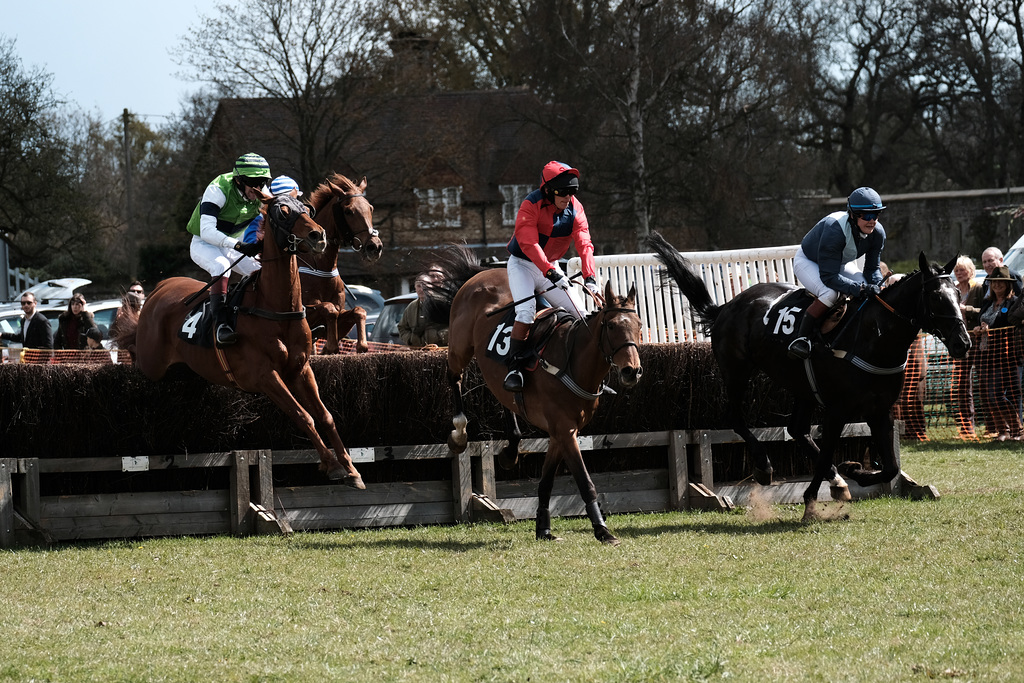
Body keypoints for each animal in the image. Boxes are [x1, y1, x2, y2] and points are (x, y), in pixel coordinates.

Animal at [119, 194, 364, 489]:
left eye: (308, 209)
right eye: (282, 212)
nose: (318, 235)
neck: (275, 306)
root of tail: (159, 289)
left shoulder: (301, 369)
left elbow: (325, 416)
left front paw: (351, 469)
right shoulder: (264, 376)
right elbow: (303, 416)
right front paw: (332, 465)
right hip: (152, 362)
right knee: (133, 348)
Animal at [305, 174, 385, 356]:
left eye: (370, 208)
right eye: (349, 211)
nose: (374, 247)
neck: (322, 266)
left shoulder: (342, 318)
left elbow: (359, 311)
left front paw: (361, 345)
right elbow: (328, 309)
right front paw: (330, 345)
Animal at [421, 245, 643, 544]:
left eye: (639, 325)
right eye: (611, 326)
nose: (632, 371)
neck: (571, 362)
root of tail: (480, 275)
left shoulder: (561, 433)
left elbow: (546, 482)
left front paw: (544, 528)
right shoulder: (564, 430)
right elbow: (585, 482)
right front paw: (602, 530)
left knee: (503, 394)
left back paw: (511, 449)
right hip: (459, 347)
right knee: (455, 377)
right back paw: (459, 432)